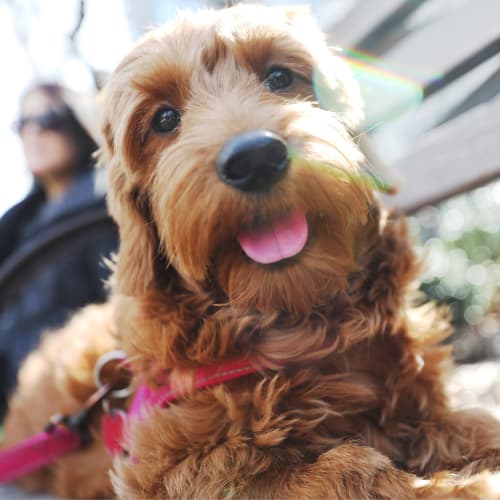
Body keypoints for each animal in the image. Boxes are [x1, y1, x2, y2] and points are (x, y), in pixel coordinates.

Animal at [2, 4, 500, 500]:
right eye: (164, 120)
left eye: (279, 77)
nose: (255, 157)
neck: (293, 322)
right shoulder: (165, 468)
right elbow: (346, 469)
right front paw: (463, 485)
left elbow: (471, 424)